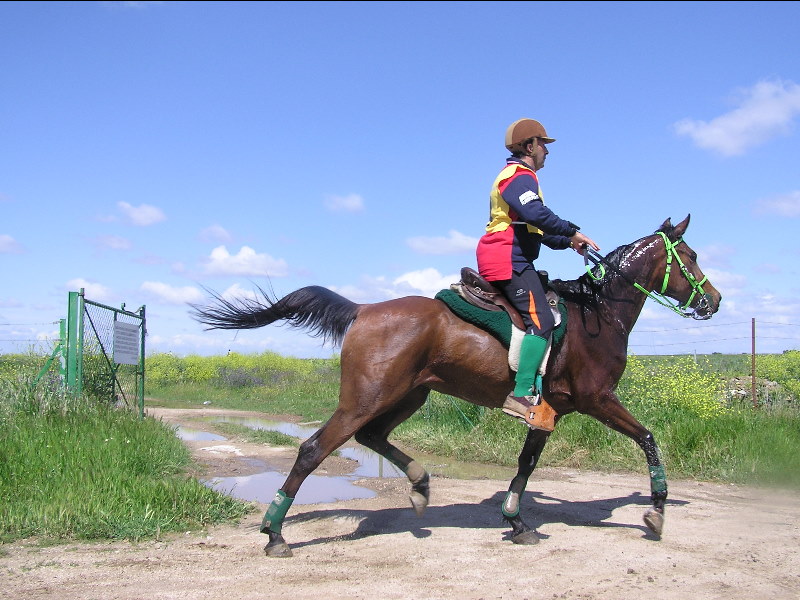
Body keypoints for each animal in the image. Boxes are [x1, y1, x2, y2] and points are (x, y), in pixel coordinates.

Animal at [192, 216, 720, 556]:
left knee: (371, 436)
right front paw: (656, 511)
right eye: (692, 256)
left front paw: (516, 521)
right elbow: (648, 438)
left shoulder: (550, 410)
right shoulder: (598, 400)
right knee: (312, 449)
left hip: (409, 394)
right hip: (366, 398)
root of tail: (364, 310)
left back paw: (420, 485)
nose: (713, 300)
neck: (598, 313)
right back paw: (275, 533)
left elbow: (526, 464)